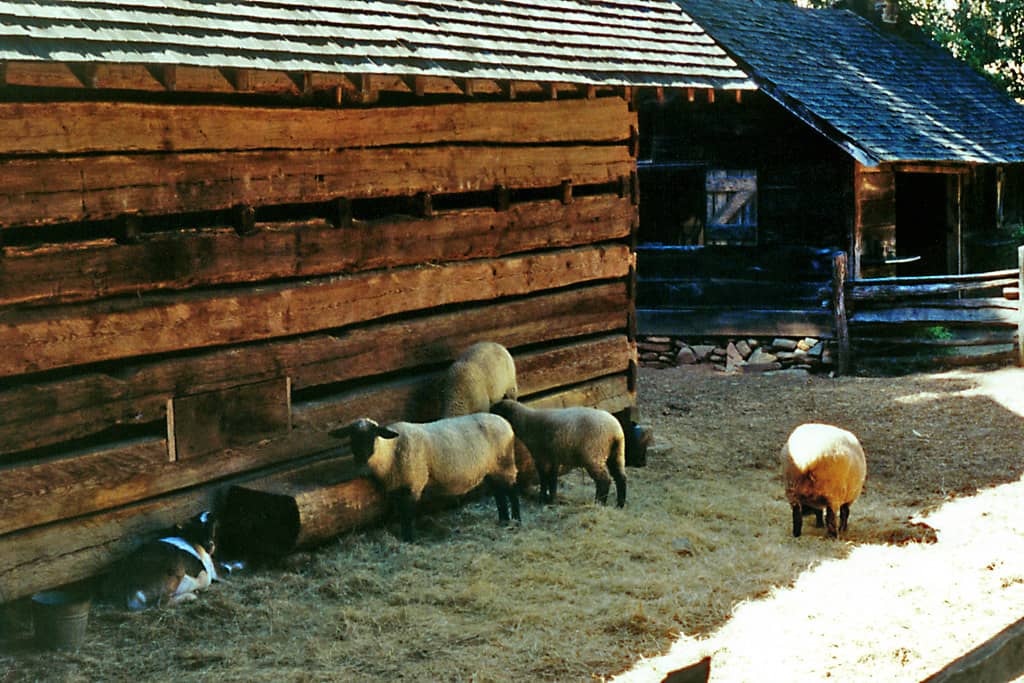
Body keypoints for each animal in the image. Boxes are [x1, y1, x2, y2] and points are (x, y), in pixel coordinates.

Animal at [333, 414, 520, 541]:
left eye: (372, 435)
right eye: (351, 437)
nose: (360, 459)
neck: (390, 452)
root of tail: (506, 423)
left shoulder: (413, 483)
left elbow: (407, 514)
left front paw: (409, 539)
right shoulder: (397, 488)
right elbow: (399, 513)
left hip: (505, 464)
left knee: (512, 492)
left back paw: (517, 520)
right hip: (492, 469)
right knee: (499, 493)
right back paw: (503, 520)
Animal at [490, 399, 626, 507]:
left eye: (496, 409)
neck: (526, 422)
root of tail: (615, 431)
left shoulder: (541, 456)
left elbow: (544, 478)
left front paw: (543, 499)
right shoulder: (553, 458)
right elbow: (552, 479)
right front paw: (552, 498)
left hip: (594, 454)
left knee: (604, 480)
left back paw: (599, 503)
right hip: (617, 452)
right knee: (620, 477)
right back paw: (619, 504)